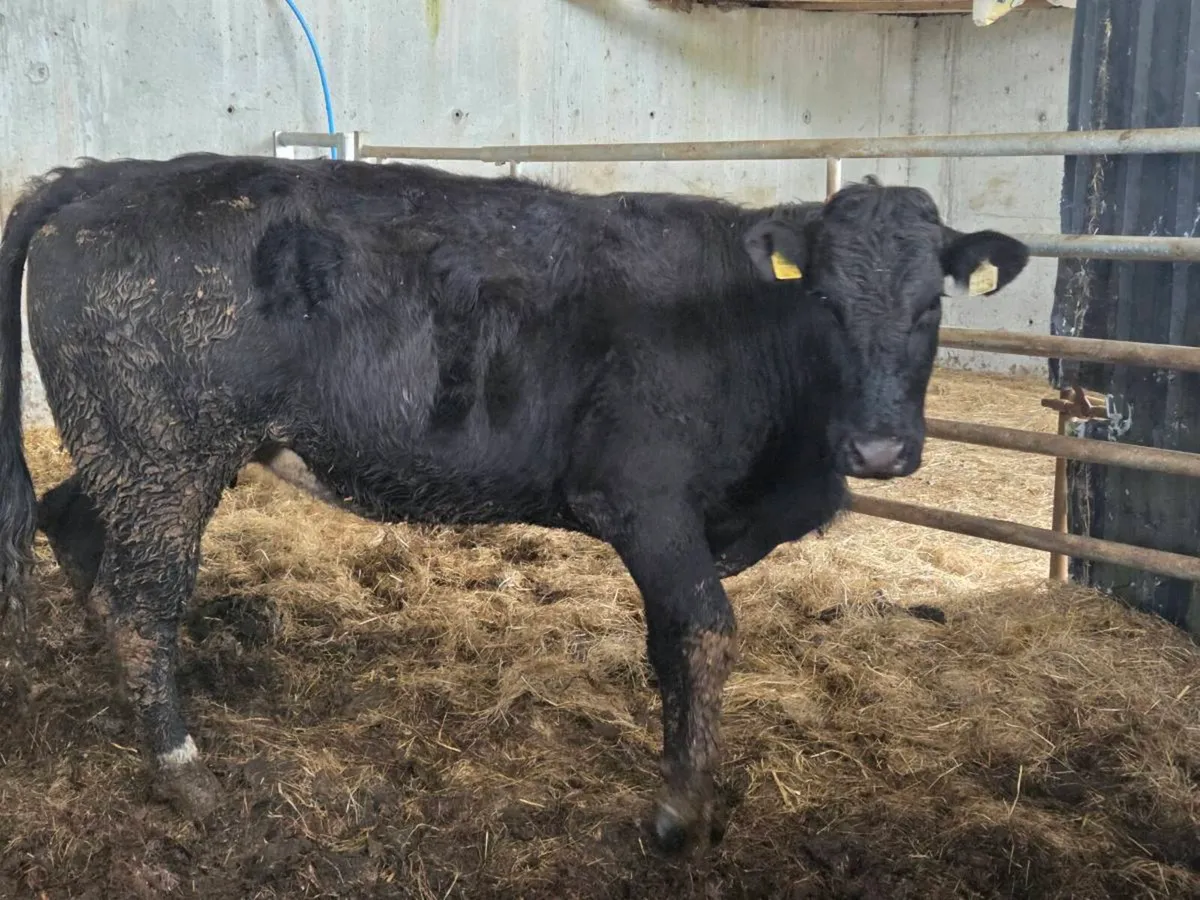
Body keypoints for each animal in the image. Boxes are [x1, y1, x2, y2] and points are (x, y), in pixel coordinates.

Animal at [0, 153, 1029, 854]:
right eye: (822, 300)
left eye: (932, 307)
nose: (880, 448)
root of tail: (108, 175)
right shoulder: (643, 500)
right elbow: (704, 634)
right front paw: (680, 813)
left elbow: (667, 649)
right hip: (164, 454)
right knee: (140, 601)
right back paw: (182, 772)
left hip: (131, 454)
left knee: (77, 533)